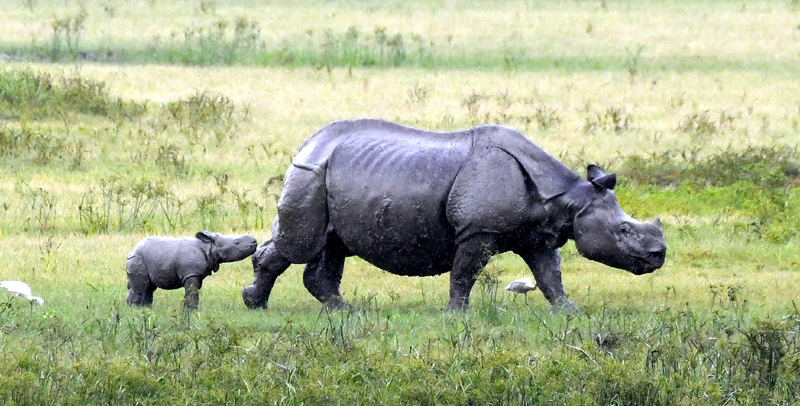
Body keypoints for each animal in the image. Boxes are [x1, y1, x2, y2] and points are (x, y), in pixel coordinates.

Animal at [126, 231, 257, 309]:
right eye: (237, 242)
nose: (254, 241)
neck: (210, 247)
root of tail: (131, 251)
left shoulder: (197, 274)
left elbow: (195, 290)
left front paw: (192, 308)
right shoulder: (191, 273)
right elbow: (192, 291)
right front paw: (190, 309)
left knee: (149, 287)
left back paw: (145, 308)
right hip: (138, 258)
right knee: (142, 287)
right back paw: (136, 309)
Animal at [243, 119, 666, 312]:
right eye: (624, 229)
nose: (659, 256)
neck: (570, 200)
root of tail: (308, 143)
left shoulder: (538, 235)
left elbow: (550, 275)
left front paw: (569, 312)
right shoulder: (477, 230)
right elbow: (465, 272)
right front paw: (457, 315)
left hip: (329, 176)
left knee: (331, 245)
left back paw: (343, 311)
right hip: (309, 175)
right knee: (300, 243)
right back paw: (258, 305)